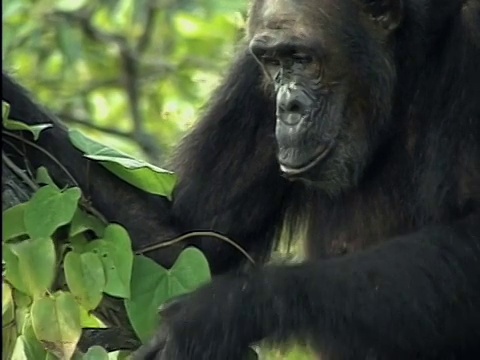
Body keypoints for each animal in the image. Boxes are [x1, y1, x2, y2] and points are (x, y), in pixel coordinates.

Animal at [1, 0, 478, 358]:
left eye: (303, 58)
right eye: (273, 62)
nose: (287, 107)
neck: (406, 62)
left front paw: (225, 311)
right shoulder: (252, 86)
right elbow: (187, 242)